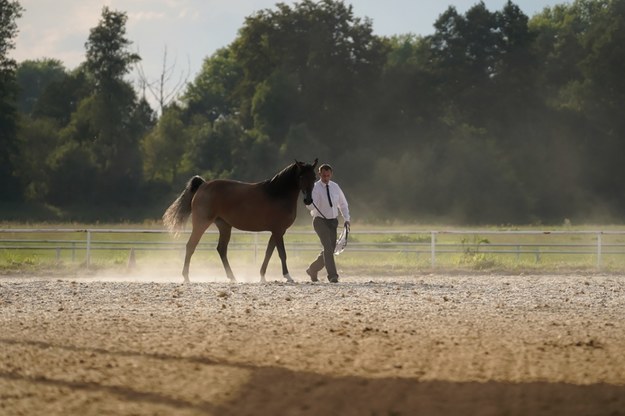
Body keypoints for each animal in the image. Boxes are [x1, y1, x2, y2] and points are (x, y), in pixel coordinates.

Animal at [162, 158, 316, 282]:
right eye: (301, 176)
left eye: (314, 177)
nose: (308, 200)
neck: (277, 193)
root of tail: (203, 185)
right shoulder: (278, 231)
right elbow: (282, 254)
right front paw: (288, 276)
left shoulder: (276, 231)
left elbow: (269, 252)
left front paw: (262, 276)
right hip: (201, 224)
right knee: (191, 246)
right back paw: (186, 277)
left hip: (224, 226)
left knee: (221, 249)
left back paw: (232, 277)